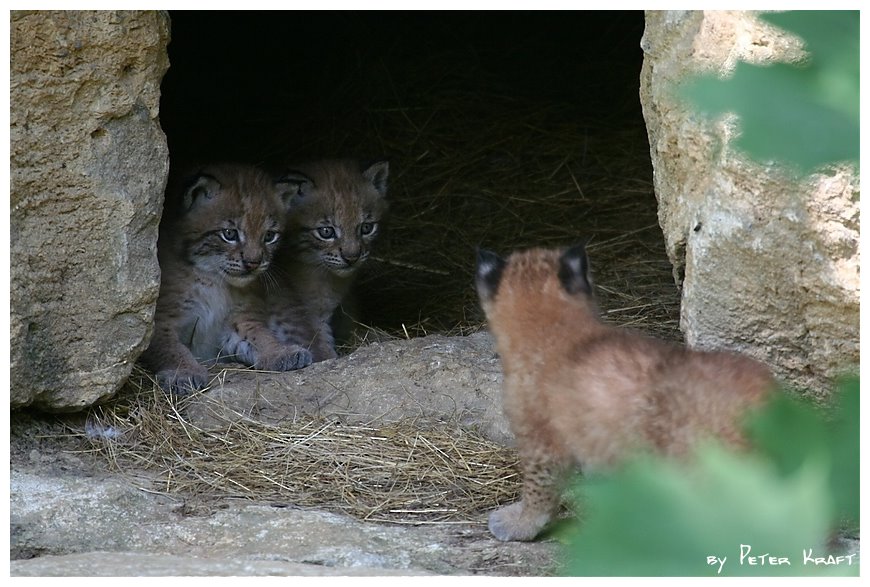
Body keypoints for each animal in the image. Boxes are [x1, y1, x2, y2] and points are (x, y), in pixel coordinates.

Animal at [140, 164, 310, 396]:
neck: (213, 278)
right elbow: (172, 348)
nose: (253, 263)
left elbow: (261, 336)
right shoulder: (160, 319)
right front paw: (184, 372)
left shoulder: (238, 319)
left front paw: (280, 352)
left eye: (269, 236)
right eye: (229, 234)